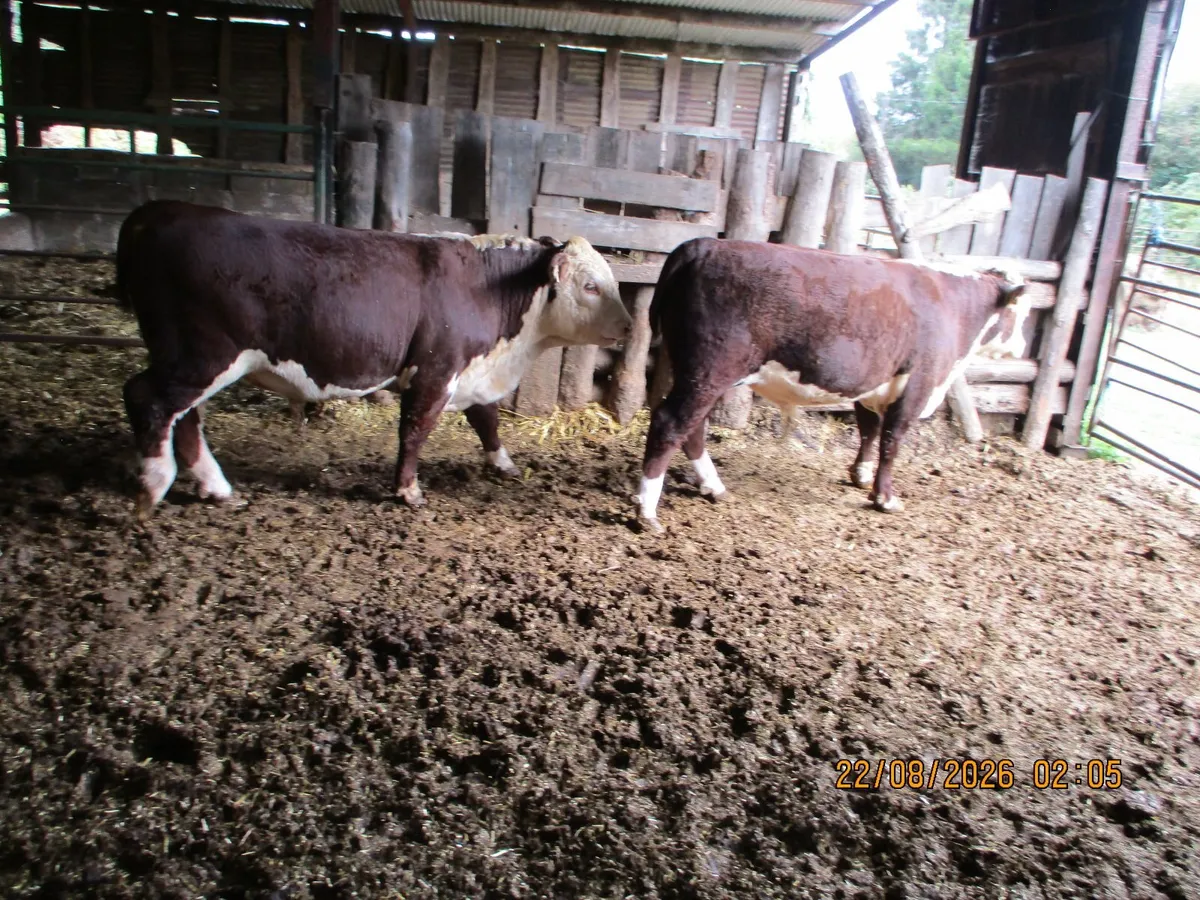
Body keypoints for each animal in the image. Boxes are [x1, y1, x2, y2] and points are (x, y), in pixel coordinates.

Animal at [115, 200, 632, 519]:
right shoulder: (435, 370)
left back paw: (216, 488)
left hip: (194, 360)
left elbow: (487, 421)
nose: (630, 325)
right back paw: (153, 484)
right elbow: (415, 431)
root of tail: (162, 211)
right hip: (204, 354)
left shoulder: (473, 372)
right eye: (590, 286)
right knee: (148, 399)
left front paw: (502, 464)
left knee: (185, 417)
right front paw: (408, 490)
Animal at [635, 238, 1031, 532]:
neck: (955, 306)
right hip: (710, 369)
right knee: (671, 423)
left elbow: (869, 431)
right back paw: (647, 509)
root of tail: (702, 245)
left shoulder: (871, 384)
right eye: (1021, 312)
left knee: (693, 427)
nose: (1023, 345)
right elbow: (891, 442)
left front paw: (861, 475)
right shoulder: (918, 384)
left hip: (697, 372)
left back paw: (712, 486)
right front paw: (885, 497)